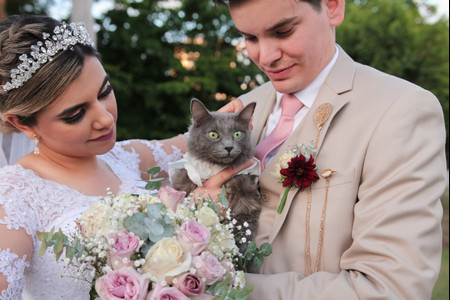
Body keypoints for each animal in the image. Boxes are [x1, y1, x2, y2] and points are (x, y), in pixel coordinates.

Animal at [171, 99, 264, 246]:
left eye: (237, 134)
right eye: (213, 134)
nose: (228, 147)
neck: (214, 168)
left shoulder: (246, 200)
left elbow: (244, 232)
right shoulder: (183, 180)